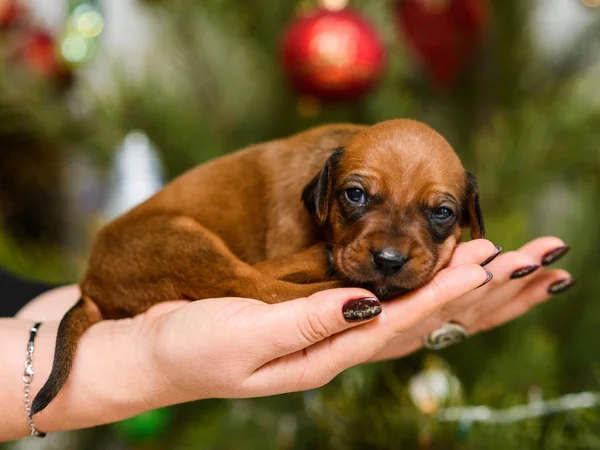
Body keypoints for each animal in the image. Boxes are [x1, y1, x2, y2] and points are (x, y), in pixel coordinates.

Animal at [31, 118, 482, 414]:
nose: (388, 261)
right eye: (355, 195)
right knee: (255, 284)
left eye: (442, 212)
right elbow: (269, 277)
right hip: (181, 239)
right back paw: (340, 287)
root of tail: (90, 284)